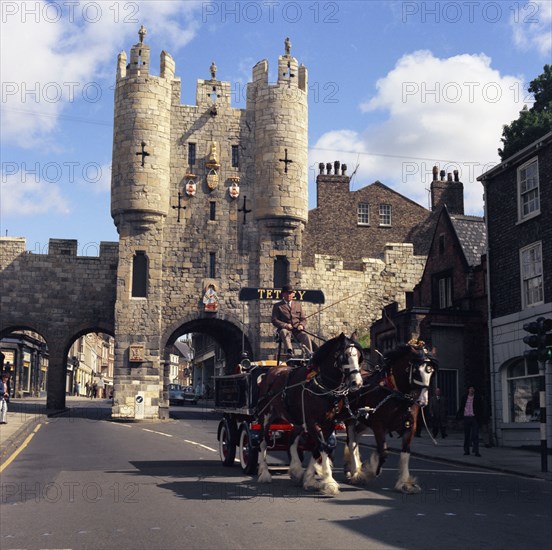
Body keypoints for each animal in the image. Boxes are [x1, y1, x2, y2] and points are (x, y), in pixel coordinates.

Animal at [256, 334, 364, 498]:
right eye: (344, 356)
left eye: (358, 356)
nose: (356, 383)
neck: (323, 386)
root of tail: (272, 371)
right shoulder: (313, 423)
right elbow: (323, 447)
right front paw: (330, 482)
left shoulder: (328, 424)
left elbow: (318, 448)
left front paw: (308, 478)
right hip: (266, 417)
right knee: (263, 442)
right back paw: (264, 474)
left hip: (298, 420)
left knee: (292, 441)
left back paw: (296, 470)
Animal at [342, 340, 438, 496]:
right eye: (416, 371)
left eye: (432, 372)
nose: (422, 401)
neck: (396, 393)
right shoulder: (378, 425)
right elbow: (384, 451)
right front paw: (371, 470)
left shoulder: (410, 427)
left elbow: (405, 454)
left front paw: (405, 483)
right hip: (350, 418)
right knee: (351, 441)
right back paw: (356, 472)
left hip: (364, 421)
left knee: (356, 436)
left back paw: (352, 468)